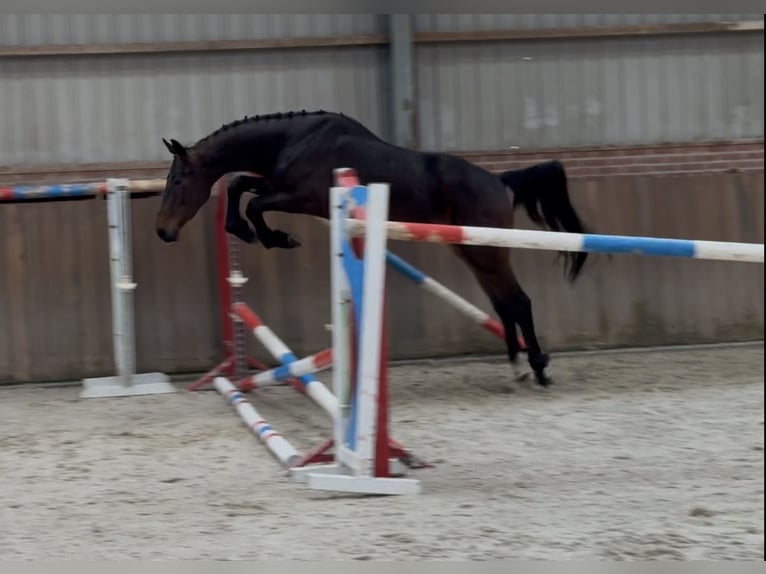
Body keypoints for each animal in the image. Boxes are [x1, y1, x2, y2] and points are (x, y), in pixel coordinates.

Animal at [155, 109, 591, 387]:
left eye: (177, 181)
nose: (163, 231)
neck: (295, 141)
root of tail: (499, 181)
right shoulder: (278, 187)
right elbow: (238, 185)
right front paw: (249, 232)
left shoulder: (300, 197)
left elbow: (253, 203)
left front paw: (273, 237)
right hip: (471, 251)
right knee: (503, 305)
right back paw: (519, 368)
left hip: (488, 253)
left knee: (519, 301)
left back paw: (539, 369)